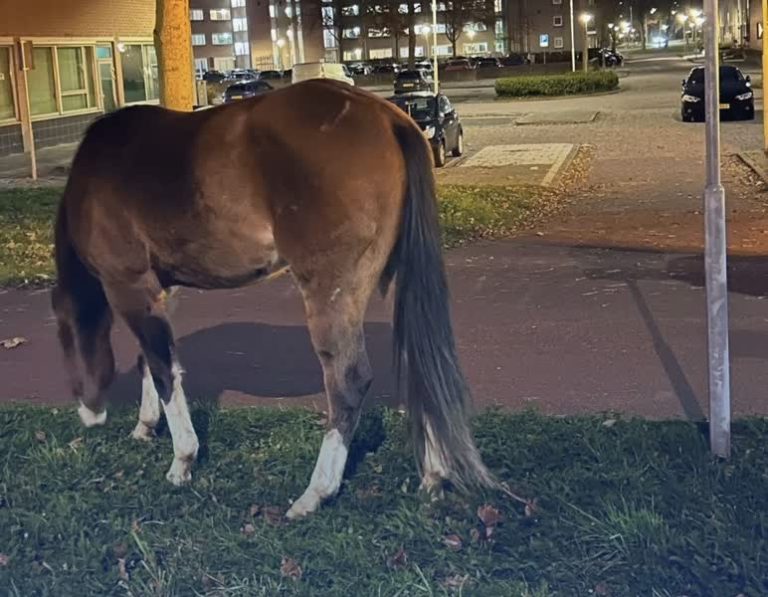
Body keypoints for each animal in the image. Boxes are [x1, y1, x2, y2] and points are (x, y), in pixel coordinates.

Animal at [51, 79, 493, 518]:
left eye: (65, 343)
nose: (87, 413)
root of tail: (388, 116)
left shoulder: (129, 285)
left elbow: (162, 370)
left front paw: (182, 460)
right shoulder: (161, 290)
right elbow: (151, 360)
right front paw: (145, 427)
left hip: (330, 289)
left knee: (348, 381)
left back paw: (316, 493)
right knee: (421, 360)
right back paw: (433, 477)